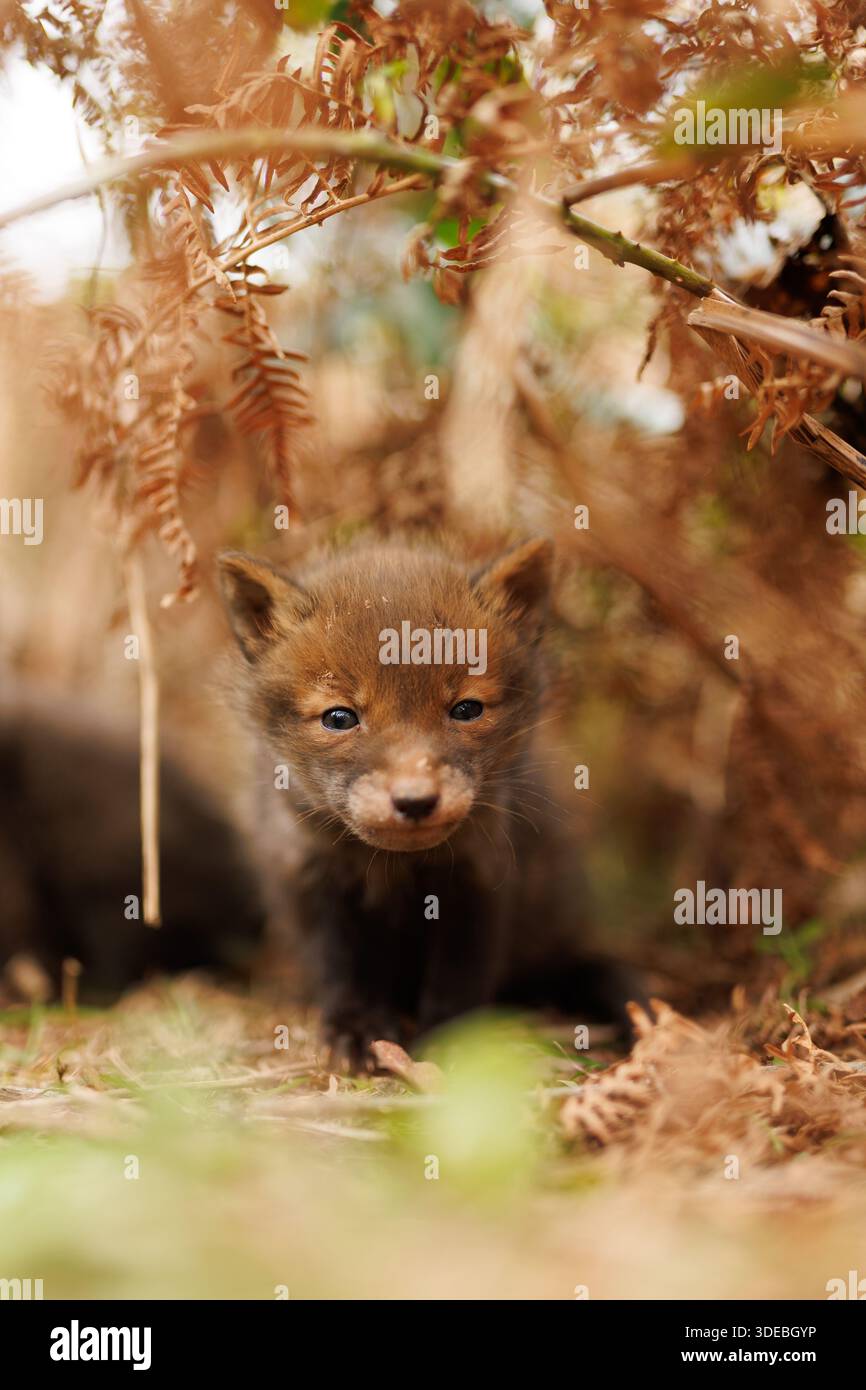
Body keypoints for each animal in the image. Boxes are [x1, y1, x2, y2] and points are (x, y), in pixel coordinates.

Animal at [218, 535, 641, 1066]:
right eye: (339, 718)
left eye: (467, 709)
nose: (415, 800)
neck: (394, 870)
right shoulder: (311, 878)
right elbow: (340, 970)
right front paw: (355, 1030)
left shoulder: (481, 878)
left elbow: (460, 976)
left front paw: (455, 1046)